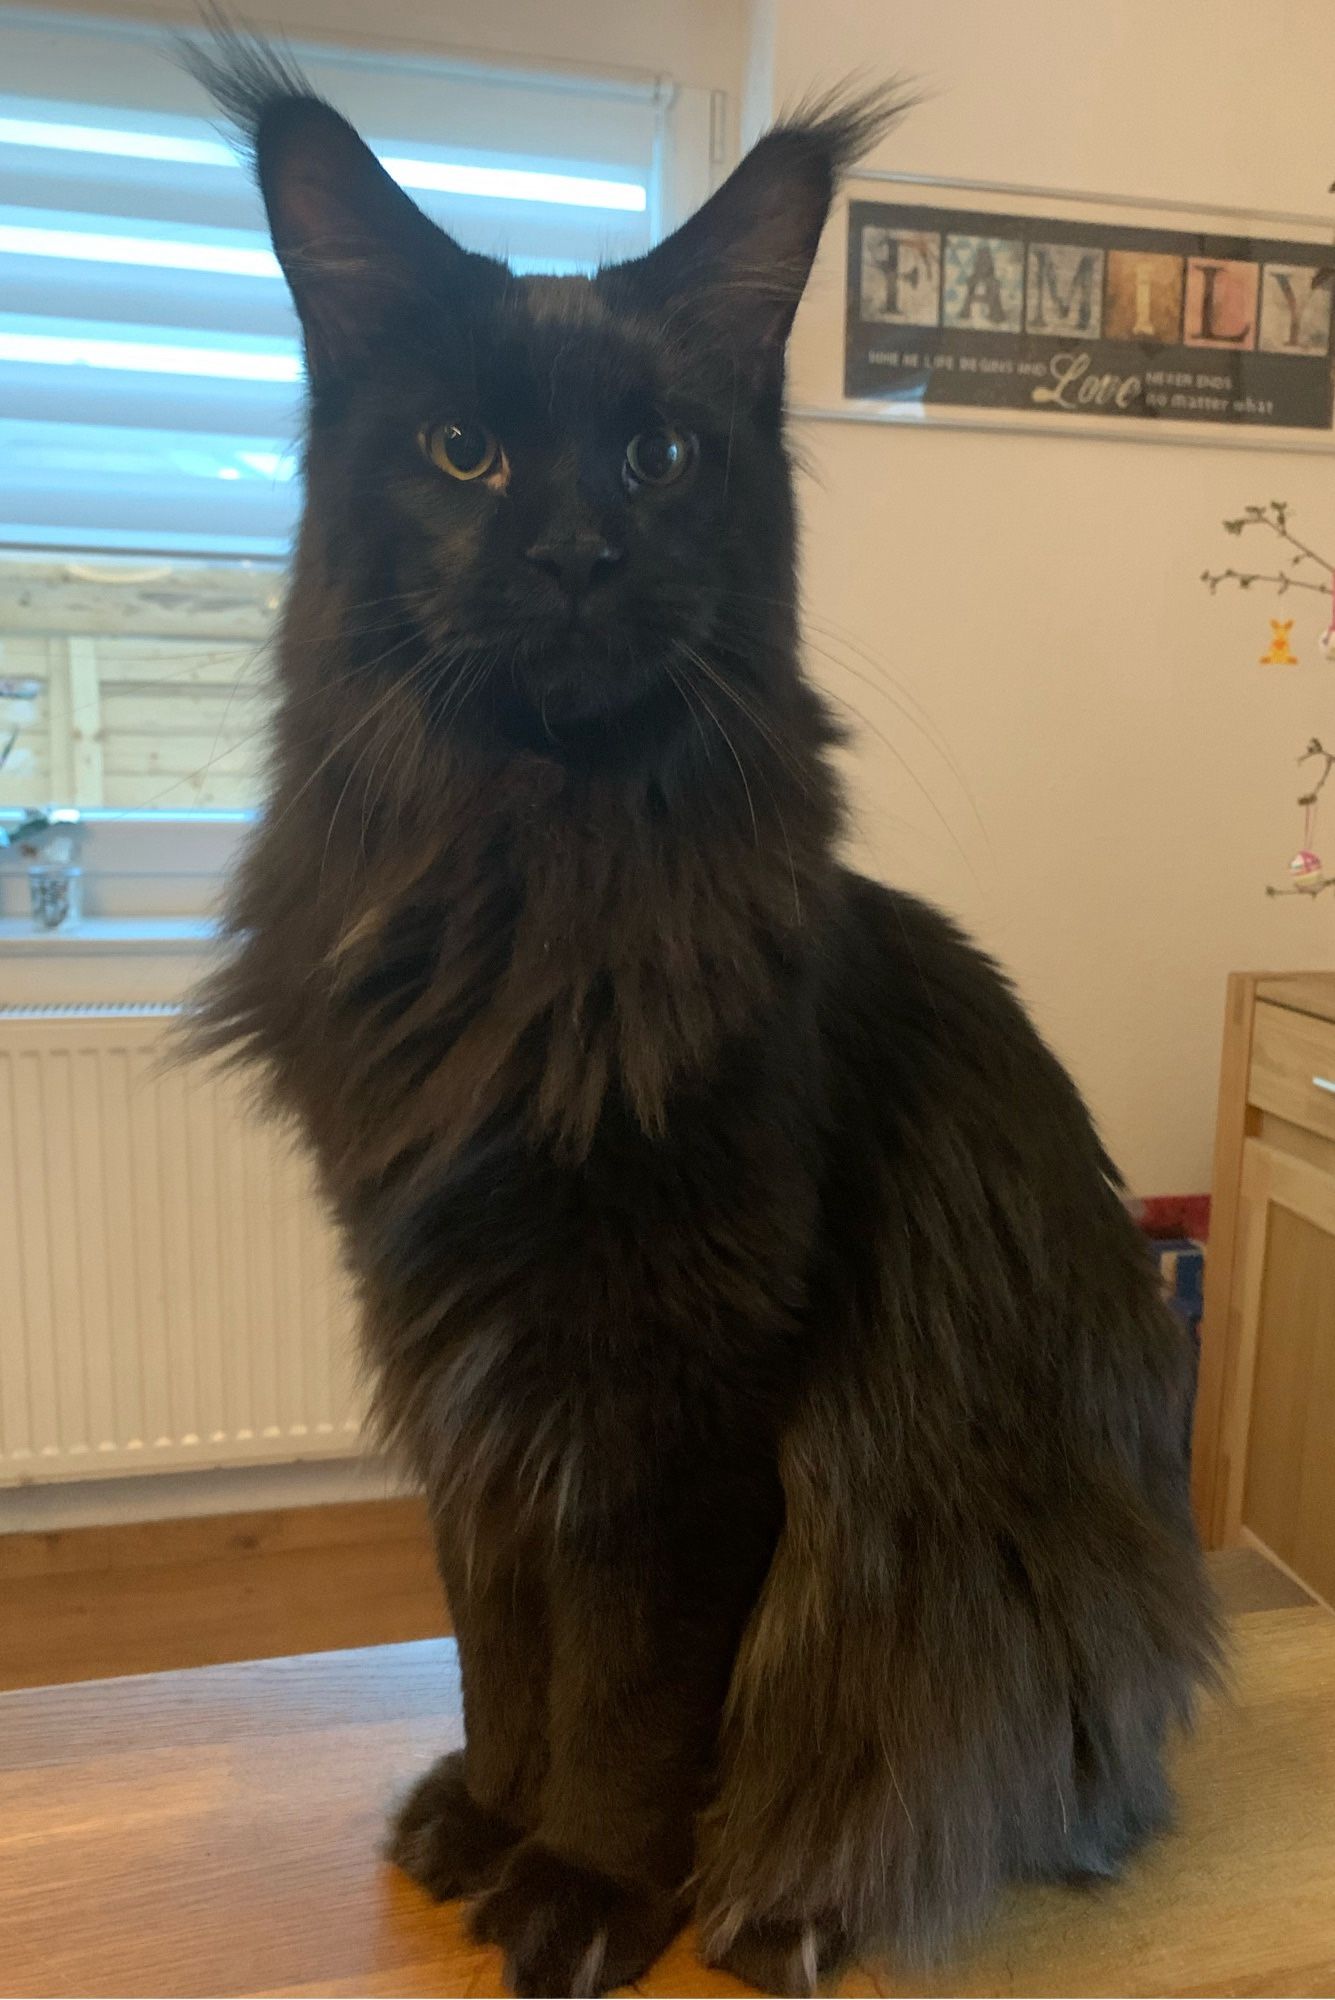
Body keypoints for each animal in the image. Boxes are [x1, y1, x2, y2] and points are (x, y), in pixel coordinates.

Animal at [184, 35, 1223, 2000]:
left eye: (658, 459)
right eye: (464, 451)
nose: (579, 551)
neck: (537, 881)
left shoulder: (684, 1385)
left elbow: (630, 1685)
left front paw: (587, 1883)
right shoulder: (461, 1350)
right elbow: (497, 1639)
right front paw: (486, 1819)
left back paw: (790, 1909)